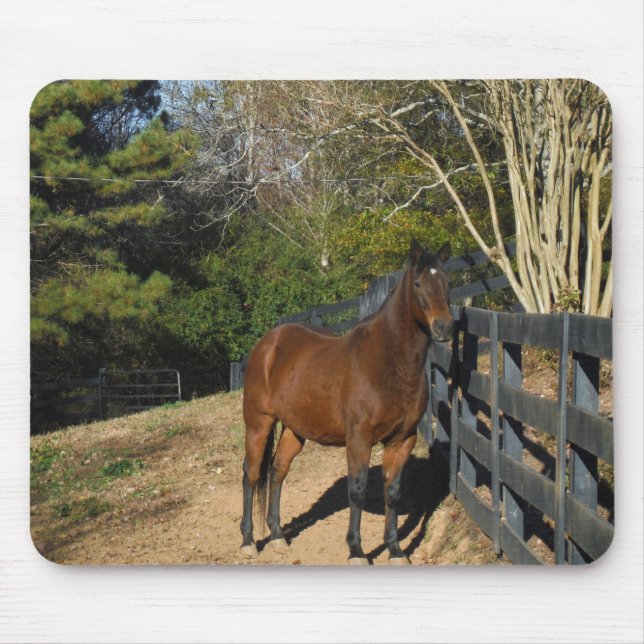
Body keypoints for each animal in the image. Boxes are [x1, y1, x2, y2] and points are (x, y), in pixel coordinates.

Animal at [240, 239, 453, 564]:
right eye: (418, 283)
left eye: (447, 282)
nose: (444, 327)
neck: (387, 362)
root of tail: (267, 344)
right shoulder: (359, 439)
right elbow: (358, 490)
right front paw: (356, 550)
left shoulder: (402, 440)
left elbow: (393, 492)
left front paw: (395, 550)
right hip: (258, 423)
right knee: (251, 474)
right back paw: (249, 541)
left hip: (294, 430)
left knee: (277, 471)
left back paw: (276, 536)